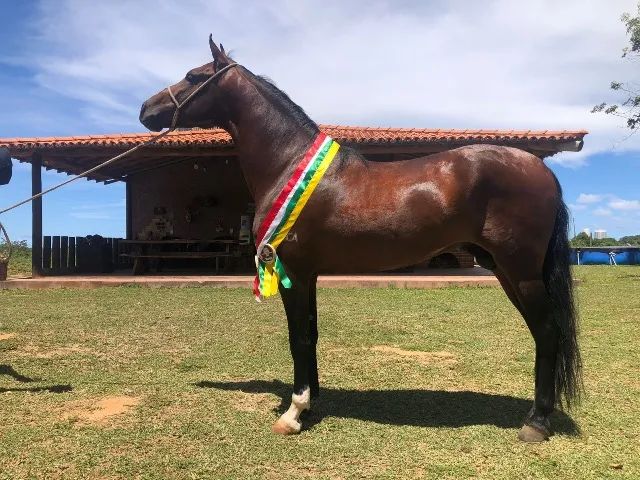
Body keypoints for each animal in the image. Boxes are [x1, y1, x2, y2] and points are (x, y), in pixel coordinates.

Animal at [139, 36, 582, 442]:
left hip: (520, 270)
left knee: (547, 331)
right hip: (505, 271)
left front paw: (293, 413)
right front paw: (312, 401)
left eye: (194, 76)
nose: (146, 109)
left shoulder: (293, 272)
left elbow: (298, 337)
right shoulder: (309, 275)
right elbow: (311, 334)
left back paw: (536, 423)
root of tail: (540, 169)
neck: (287, 162)